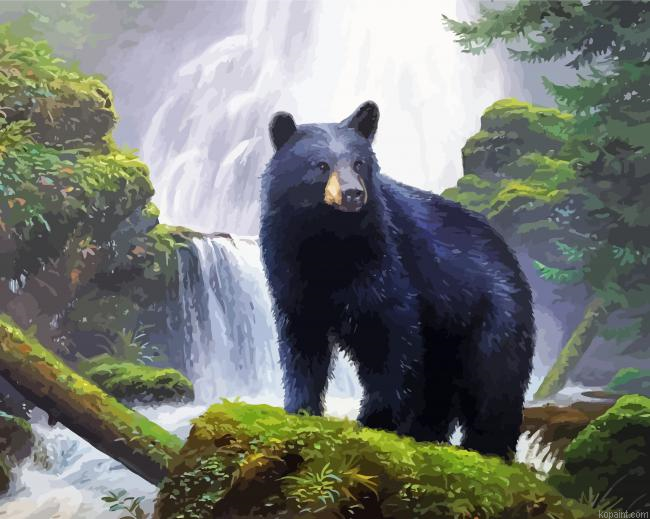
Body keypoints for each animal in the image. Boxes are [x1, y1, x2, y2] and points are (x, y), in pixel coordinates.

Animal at [259, 101, 534, 457]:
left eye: (359, 163)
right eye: (321, 165)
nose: (352, 193)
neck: (328, 239)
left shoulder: (384, 261)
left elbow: (389, 338)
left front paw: (377, 420)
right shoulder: (289, 269)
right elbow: (302, 342)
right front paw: (300, 409)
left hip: (493, 313)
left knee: (494, 381)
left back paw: (486, 448)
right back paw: (428, 433)